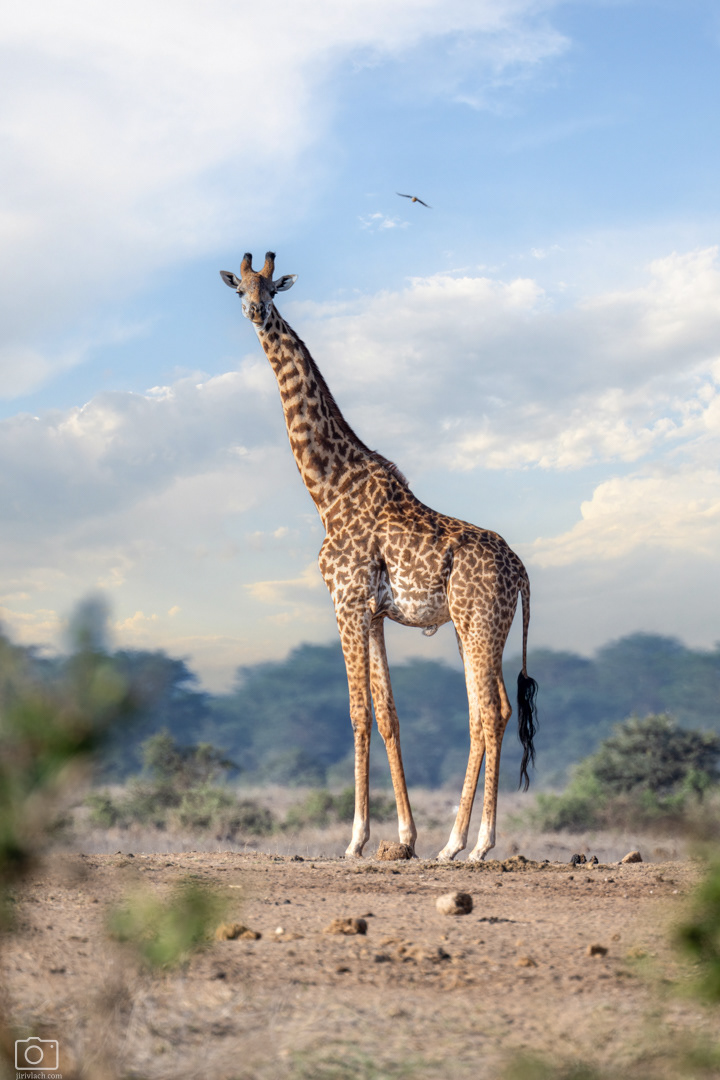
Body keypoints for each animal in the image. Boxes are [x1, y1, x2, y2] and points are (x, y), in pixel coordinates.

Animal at [221, 252, 538, 861]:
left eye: (272, 288)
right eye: (239, 289)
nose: (255, 312)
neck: (326, 489)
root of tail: (523, 575)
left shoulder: (345, 601)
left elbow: (357, 713)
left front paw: (356, 839)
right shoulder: (371, 612)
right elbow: (388, 713)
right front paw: (406, 837)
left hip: (481, 621)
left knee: (489, 712)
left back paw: (479, 844)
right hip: (474, 625)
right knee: (490, 710)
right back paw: (451, 844)